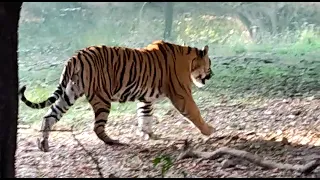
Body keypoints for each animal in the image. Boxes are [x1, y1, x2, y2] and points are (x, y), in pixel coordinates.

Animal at [19, 39, 215, 152]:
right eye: (210, 63)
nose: (211, 74)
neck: (188, 59)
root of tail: (76, 56)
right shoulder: (181, 94)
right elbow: (194, 112)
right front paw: (209, 130)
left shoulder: (146, 98)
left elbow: (145, 115)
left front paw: (148, 134)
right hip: (102, 99)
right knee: (97, 127)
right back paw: (113, 142)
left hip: (69, 93)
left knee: (49, 116)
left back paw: (43, 144)